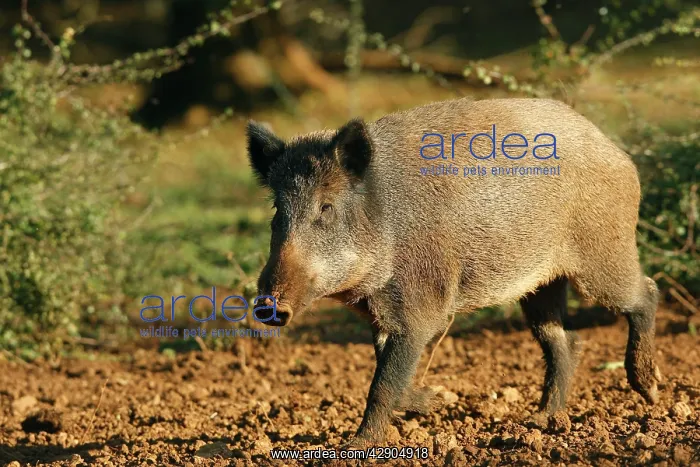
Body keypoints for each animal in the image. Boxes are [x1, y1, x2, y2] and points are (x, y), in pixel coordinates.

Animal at [246, 97, 661, 447]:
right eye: (277, 211)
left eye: (326, 207)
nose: (268, 306)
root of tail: (618, 154)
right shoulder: (381, 314)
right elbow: (391, 373)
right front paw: (437, 400)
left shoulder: (419, 305)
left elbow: (383, 383)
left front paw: (358, 445)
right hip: (542, 284)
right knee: (564, 340)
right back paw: (541, 421)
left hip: (603, 256)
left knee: (645, 294)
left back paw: (650, 390)